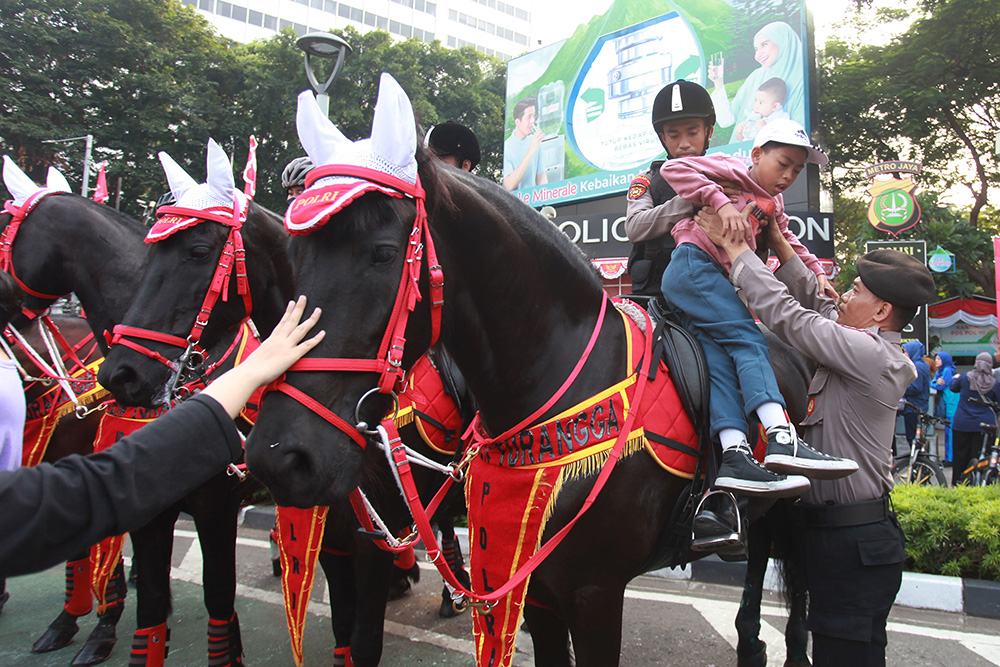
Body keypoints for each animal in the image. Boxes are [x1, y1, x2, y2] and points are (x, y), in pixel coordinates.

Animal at [0, 190, 252, 664]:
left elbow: (218, 597)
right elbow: (145, 598)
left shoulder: (216, 503)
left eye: (2, 227)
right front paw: (85, 626)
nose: (122, 376)